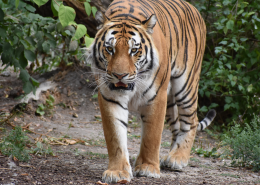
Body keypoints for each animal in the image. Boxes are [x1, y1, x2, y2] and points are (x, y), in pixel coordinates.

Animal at [85, 0, 215, 182]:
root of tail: (194, 8)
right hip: (171, 100)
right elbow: (115, 137)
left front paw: (148, 168)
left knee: (192, 121)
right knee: (176, 125)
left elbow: (152, 135)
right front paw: (117, 172)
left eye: (134, 50)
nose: (119, 75)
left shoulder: (157, 97)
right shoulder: (110, 97)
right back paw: (171, 155)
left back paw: (178, 158)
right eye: (110, 49)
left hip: (186, 84)